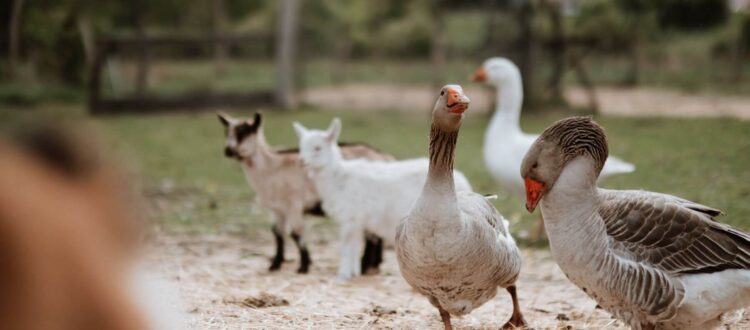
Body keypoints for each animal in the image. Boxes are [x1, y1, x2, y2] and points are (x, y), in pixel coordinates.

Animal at [217, 113, 394, 274]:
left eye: (244, 132)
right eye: (226, 132)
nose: (228, 150)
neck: (272, 167)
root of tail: (386, 157)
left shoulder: (294, 204)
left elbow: (296, 233)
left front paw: (303, 266)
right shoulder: (277, 209)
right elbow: (277, 233)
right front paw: (275, 264)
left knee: (372, 234)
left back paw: (366, 266)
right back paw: (374, 263)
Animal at [296, 117, 472, 280]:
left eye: (318, 148)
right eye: (301, 147)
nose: (302, 161)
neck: (338, 177)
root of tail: (464, 181)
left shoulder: (350, 217)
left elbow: (345, 248)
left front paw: (342, 275)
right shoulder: (357, 222)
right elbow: (353, 247)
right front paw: (353, 273)